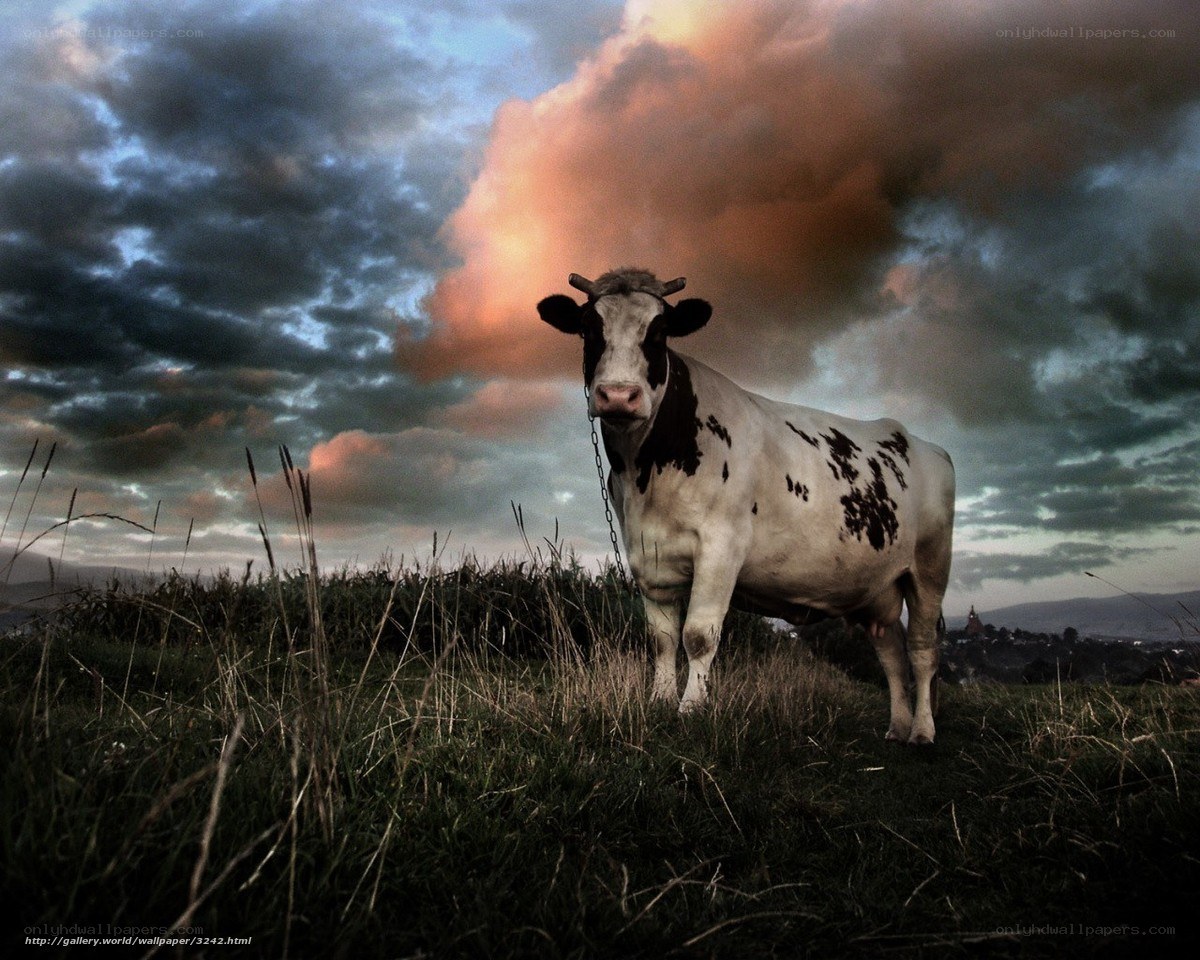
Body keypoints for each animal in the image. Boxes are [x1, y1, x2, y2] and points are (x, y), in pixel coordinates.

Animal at [538, 268, 956, 745]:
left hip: (929, 568)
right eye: (589, 328)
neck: (646, 473)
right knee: (891, 654)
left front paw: (690, 709)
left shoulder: (722, 545)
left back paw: (922, 730)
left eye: (659, 332)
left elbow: (698, 635)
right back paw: (897, 727)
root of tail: (924, 445)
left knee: (922, 651)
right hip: (875, 589)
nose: (618, 396)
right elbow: (661, 638)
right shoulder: (648, 554)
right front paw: (659, 701)